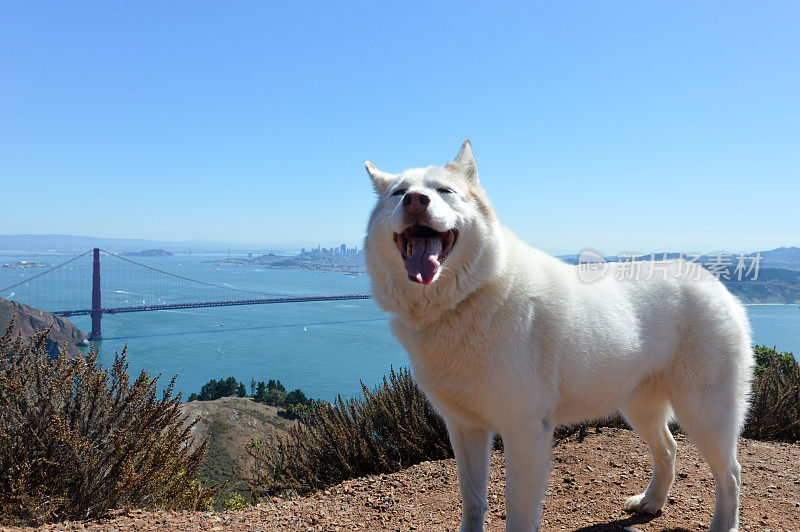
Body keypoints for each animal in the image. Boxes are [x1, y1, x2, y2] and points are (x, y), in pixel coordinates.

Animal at [366, 141, 752, 532]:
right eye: (398, 193)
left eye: (444, 190)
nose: (415, 201)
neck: (461, 303)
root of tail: (716, 283)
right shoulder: (464, 428)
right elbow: (472, 499)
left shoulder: (525, 432)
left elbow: (518, 512)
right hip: (639, 407)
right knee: (669, 449)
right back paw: (652, 502)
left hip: (705, 414)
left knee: (731, 473)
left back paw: (723, 524)